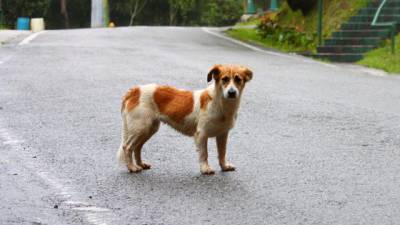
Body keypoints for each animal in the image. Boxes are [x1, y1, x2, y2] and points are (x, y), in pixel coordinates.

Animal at [116, 64, 253, 175]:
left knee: (137, 147)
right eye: (224, 79)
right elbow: (204, 154)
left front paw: (224, 167)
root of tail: (135, 90)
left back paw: (140, 164)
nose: (232, 92)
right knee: (127, 147)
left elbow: (222, 153)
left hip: (149, 129)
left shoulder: (223, 134)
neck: (220, 103)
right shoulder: (201, 134)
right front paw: (205, 169)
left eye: (238, 79)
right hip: (140, 128)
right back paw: (132, 167)